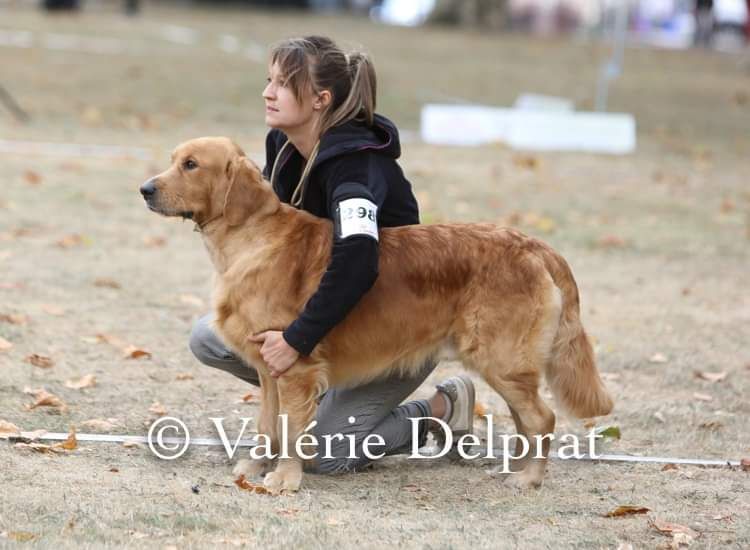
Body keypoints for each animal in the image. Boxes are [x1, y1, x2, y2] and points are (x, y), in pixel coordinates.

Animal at [142, 137, 616, 496]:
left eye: (190, 165)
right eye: (173, 159)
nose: (145, 189)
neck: (251, 239)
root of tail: (536, 246)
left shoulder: (293, 365)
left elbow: (291, 429)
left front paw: (284, 478)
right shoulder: (267, 368)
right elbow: (266, 425)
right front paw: (256, 468)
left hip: (501, 358)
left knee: (541, 418)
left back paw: (529, 479)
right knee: (524, 419)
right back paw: (514, 467)